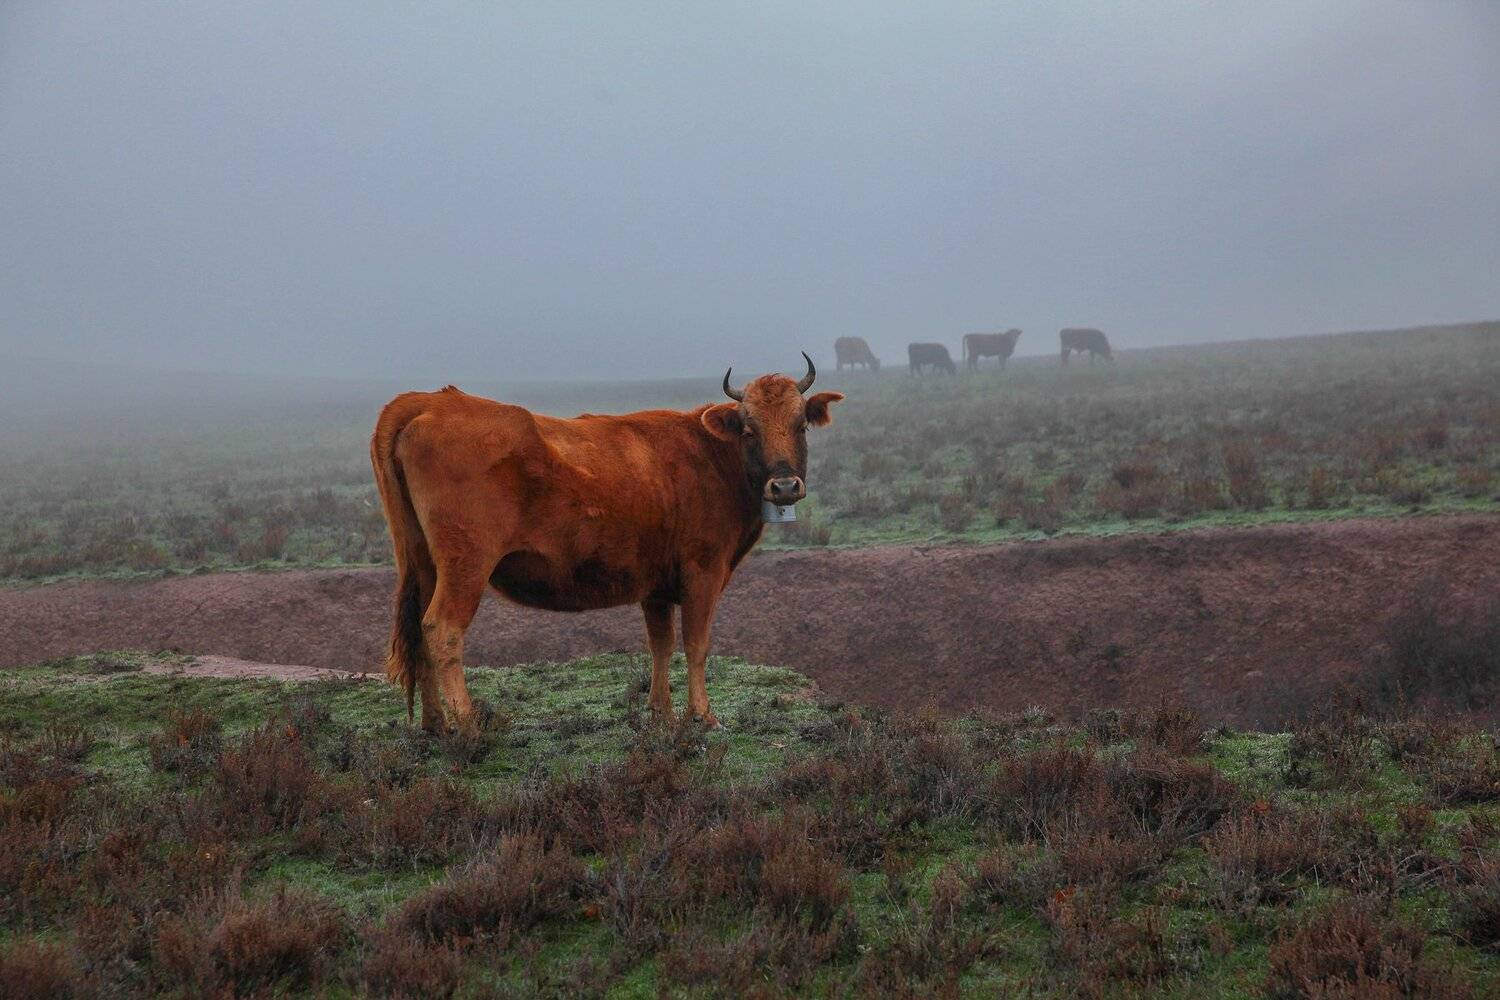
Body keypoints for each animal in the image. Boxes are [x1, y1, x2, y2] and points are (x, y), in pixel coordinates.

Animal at [370, 354, 843, 733]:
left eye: (801, 425)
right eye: (749, 429)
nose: (784, 486)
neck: (709, 457)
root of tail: (431, 401)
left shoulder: (656, 585)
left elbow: (661, 643)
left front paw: (662, 713)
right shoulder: (703, 573)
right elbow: (696, 643)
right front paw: (703, 716)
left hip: (423, 564)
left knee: (418, 631)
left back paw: (434, 724)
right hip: (466, 565)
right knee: (442, 629)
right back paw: (468, 724)